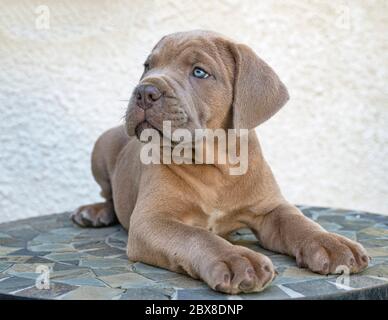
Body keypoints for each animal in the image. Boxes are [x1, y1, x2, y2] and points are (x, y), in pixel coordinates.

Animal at [73, 30, 370, 296]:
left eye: (199, 72)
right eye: (148, 66)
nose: (145, 91)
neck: (216, 166)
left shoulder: (270, 208)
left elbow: (299, 222)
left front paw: (332, 243)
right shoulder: (152, 220)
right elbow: (197, 236)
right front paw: (236, 259)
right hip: (102, 146)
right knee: (108, 193)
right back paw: (95, 212)